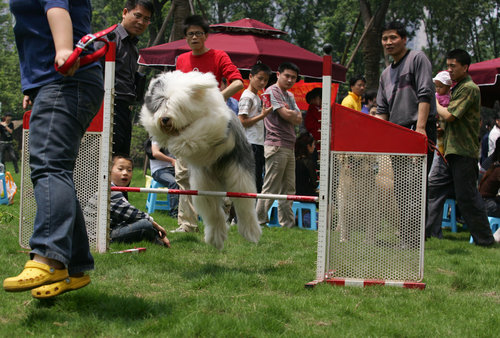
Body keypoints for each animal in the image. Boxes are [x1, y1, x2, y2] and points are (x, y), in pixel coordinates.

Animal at [140, 71, 262, 250]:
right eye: (160, 103)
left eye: (177, 105)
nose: (165, 119)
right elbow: (160, 131)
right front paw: (172, 139)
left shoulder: (214, 123)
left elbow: (197, 132)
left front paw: (178, 143)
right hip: (204, 186)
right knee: (214, 212)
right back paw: (216, 238)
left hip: (239, 176)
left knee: (244, 206)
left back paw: (251, 232)